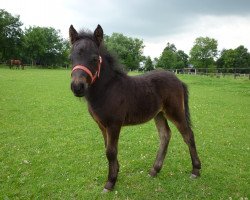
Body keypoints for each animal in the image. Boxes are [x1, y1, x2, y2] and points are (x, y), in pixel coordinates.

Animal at [69, 25, 202, 192]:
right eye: (70, 59)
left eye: (94, 59)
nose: (77, 87)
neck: (107, 89)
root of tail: (178, 80)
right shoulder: (102, 125)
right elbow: (107, 148)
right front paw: (115, 172)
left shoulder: (114, 125)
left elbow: (111, 151)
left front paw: (110, 182)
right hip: (159, 114)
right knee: (165, 135)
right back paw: (154, 170)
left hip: (175, 112)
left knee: (188, 135)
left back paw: (195, 170)